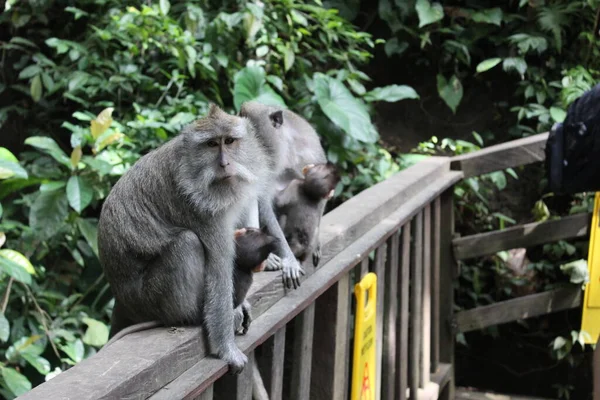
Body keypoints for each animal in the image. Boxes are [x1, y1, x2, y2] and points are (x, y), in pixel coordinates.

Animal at [238, 101, 326, 288]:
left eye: (254, 134)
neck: (287, 149)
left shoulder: (311, 152)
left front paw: (316, 242)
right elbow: (264, 204)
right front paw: (289, 259)